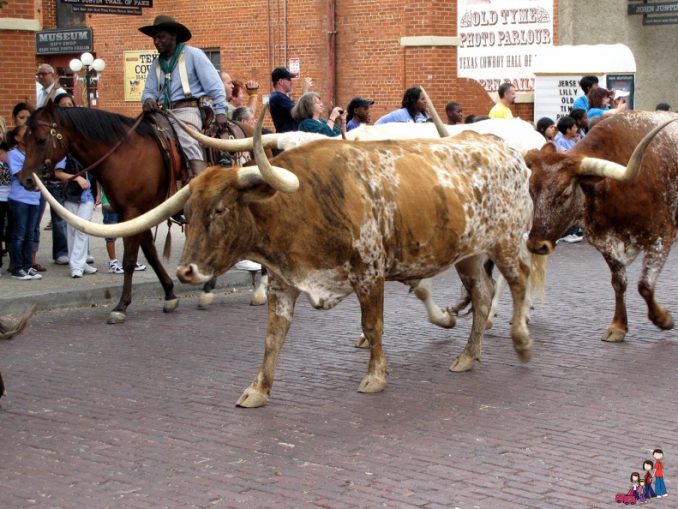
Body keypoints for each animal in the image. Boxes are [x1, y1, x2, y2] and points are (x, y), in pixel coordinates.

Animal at [18, 102, 256, 324]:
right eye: (23, 140)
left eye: (41, 140)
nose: (25, 179)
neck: (123, 154)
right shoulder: (138, 214)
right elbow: (150, 253)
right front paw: (169, 294)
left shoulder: (133, 212)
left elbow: (129, 260)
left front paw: (121, 306)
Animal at [525, 111, 678, 342]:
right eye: (531, 191)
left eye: (565, 194)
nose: (536, 245)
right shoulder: (605, 242)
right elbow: (619, 282)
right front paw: (618, 326)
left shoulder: (661, 235)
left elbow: (645, 285)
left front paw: (663, 319)